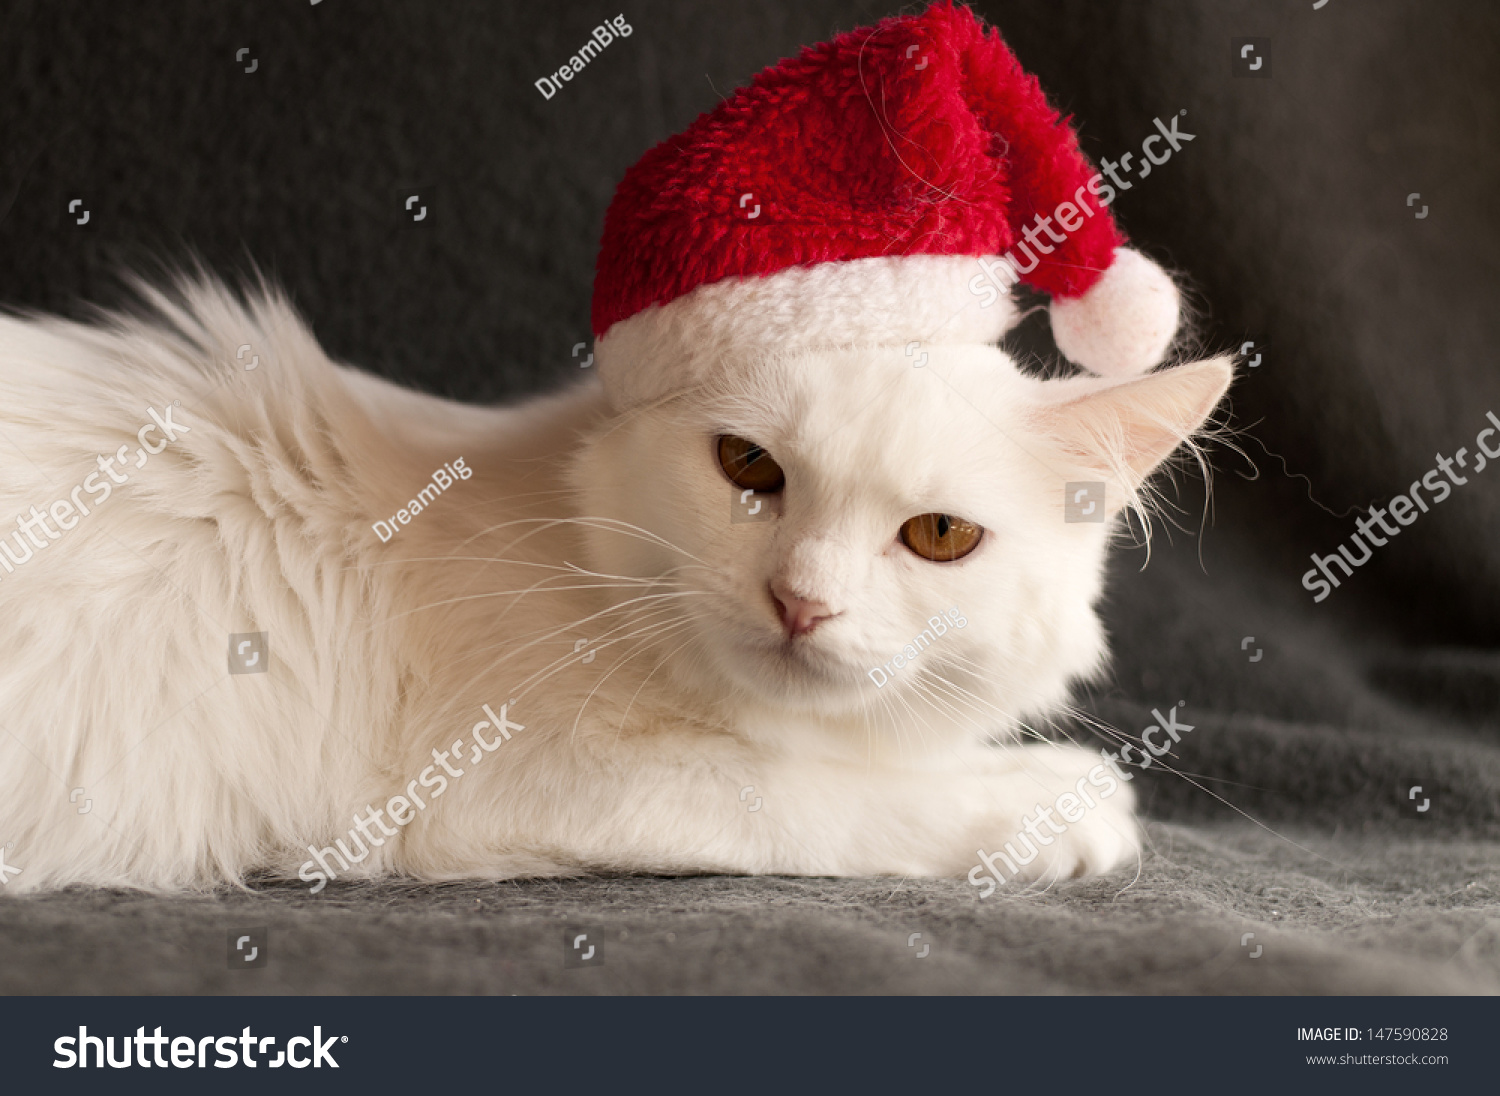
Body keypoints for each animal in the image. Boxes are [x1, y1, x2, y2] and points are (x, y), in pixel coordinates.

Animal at [0, 272, 1224, 893]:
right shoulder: (513, 778)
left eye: (937, 536)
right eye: (748, 469)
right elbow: (823, 795)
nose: (802, 602)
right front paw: (1065, 805)